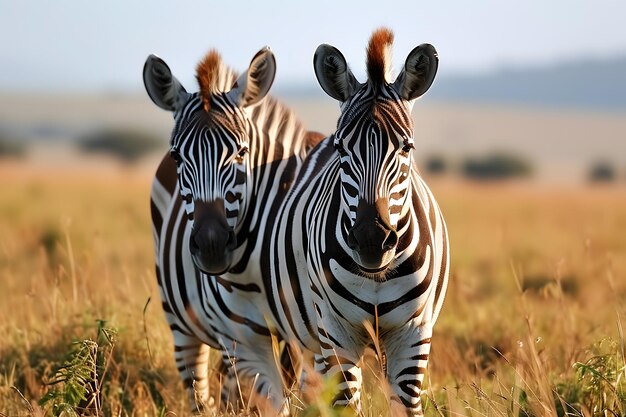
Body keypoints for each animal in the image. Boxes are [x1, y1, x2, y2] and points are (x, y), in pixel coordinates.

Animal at [143, 47, 322, 412]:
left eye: (241, 151)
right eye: (178, 157)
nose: (212, 245)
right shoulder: (238, 334)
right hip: (181, 322)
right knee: (199, 391)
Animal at [260, 27, 448, 414]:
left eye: (407, 148)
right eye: (341, 149)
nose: (371, 240)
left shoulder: (413, 335)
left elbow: (406, 405)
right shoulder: (336, 334)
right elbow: (343, 403)